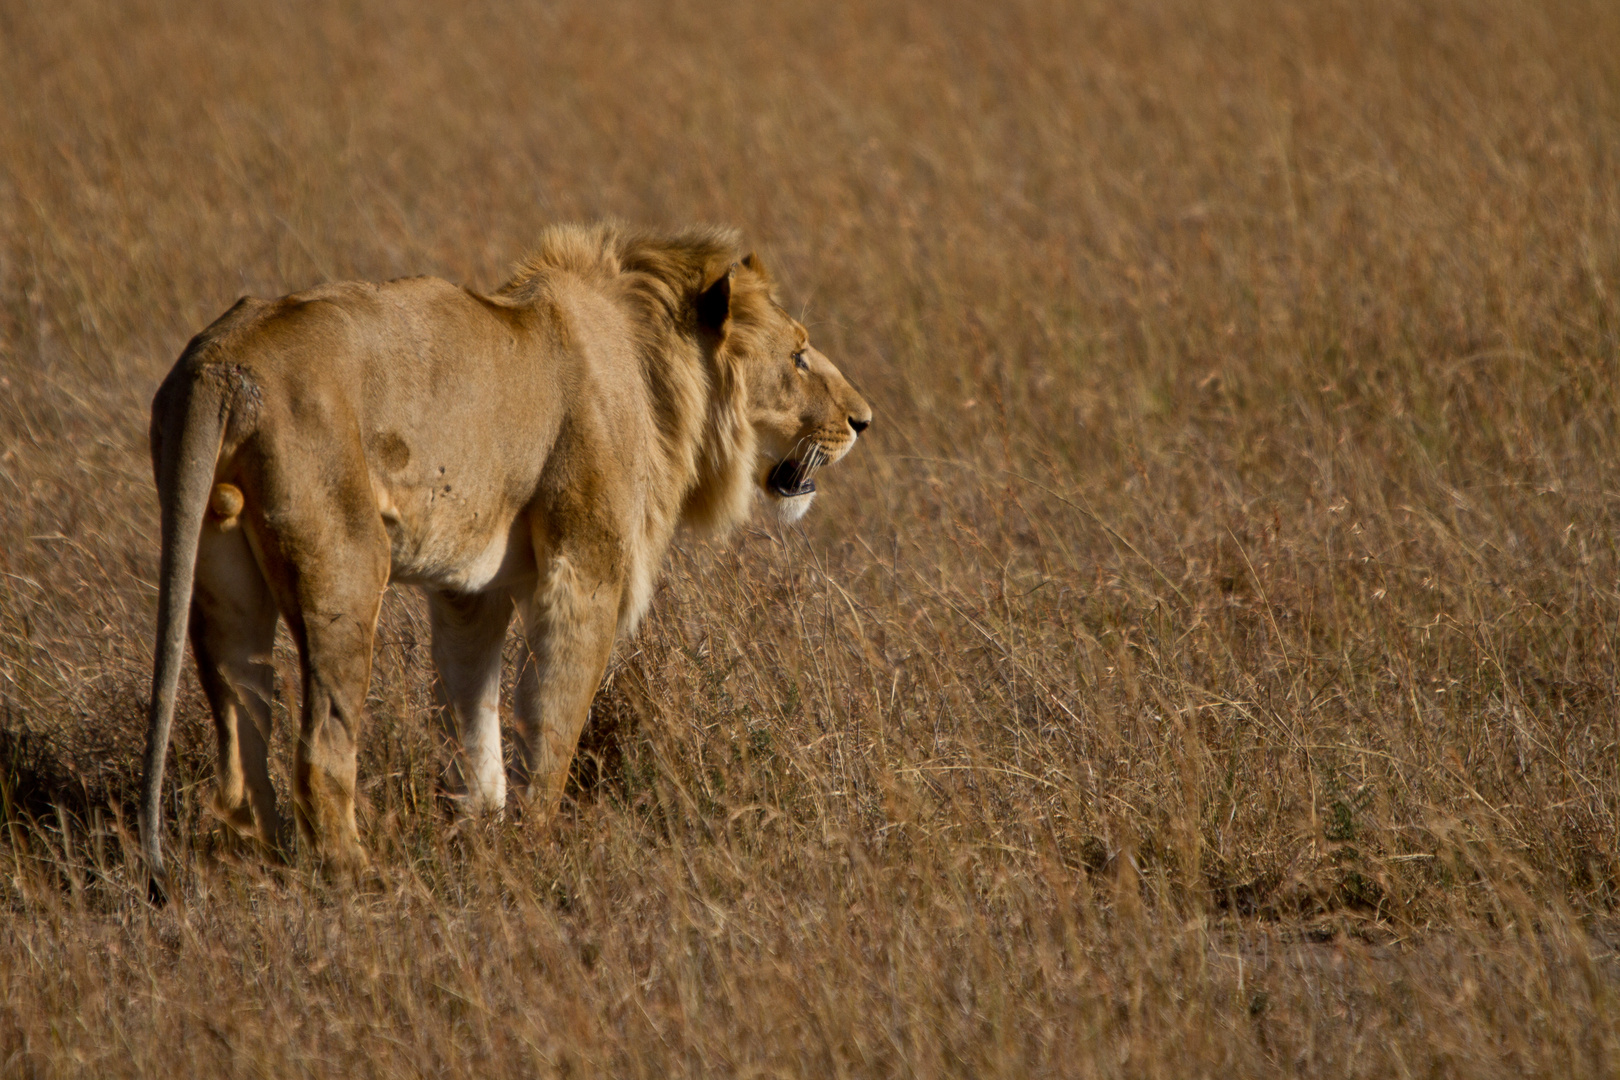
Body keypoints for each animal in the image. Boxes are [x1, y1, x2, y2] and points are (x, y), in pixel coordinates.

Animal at [139, 223, 874, 900]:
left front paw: (481, 834)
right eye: (799, 356)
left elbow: (475, 718)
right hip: (345, 566)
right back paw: (359, 878)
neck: (659, 369)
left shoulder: (471, 591)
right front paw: (538, 848)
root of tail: (222, 363)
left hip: (221, 576)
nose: (863, 420)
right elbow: (553, 719)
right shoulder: (586, 571)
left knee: (243, 743)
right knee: (320, 748)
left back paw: (262, 869)